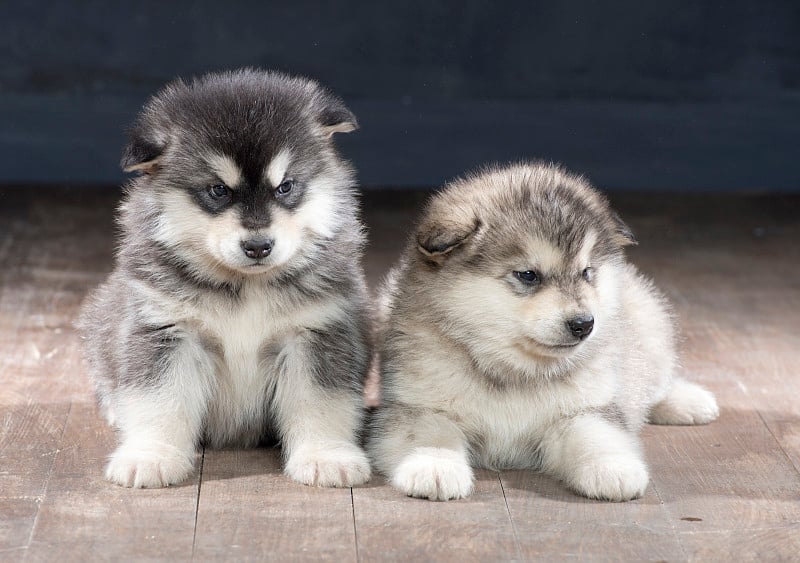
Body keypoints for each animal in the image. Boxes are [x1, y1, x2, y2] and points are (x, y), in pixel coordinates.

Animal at [78, 67, 372, 490]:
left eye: (285, 186)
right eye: (218, 190)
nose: (258, 246)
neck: (246, 287)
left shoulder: (317, 333)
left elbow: (321, 402)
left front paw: (327, 456)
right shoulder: (166, 331)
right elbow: (158, 400)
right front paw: (150, 455)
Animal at [368, 163, 720, 502]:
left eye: (586, 272)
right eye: (528, 275)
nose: (584, 324)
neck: (514, 371)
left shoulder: (583, 410)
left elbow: (597, 436)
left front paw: (612, 468)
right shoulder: (417, 408)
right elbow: (430, 435)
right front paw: (434, 465)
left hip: (650, 326)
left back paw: (688, 401)